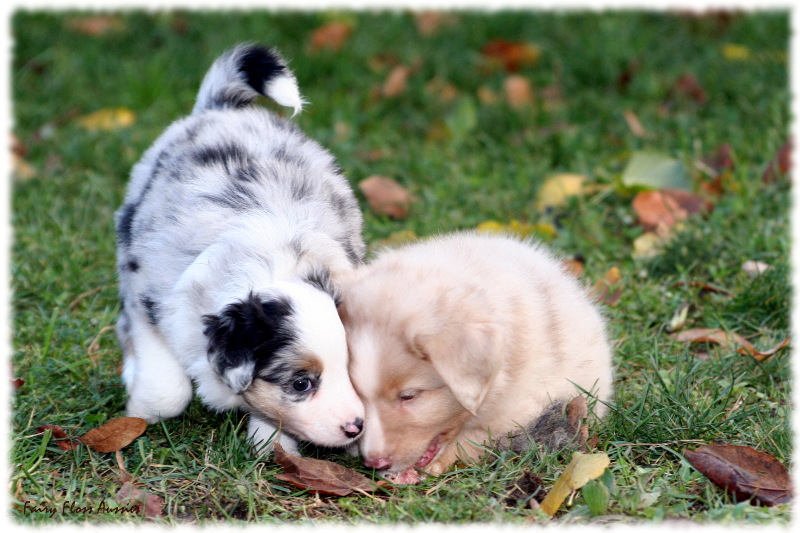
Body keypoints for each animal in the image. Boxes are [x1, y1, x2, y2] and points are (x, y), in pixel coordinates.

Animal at [115, 43, 366, 456]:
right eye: (301, 383)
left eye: (349, 367)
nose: (356, 427)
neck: (275, 263)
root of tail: (223, 109)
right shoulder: (149, 299)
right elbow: (167, 390)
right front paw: (141, 413)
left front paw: (271, 443)